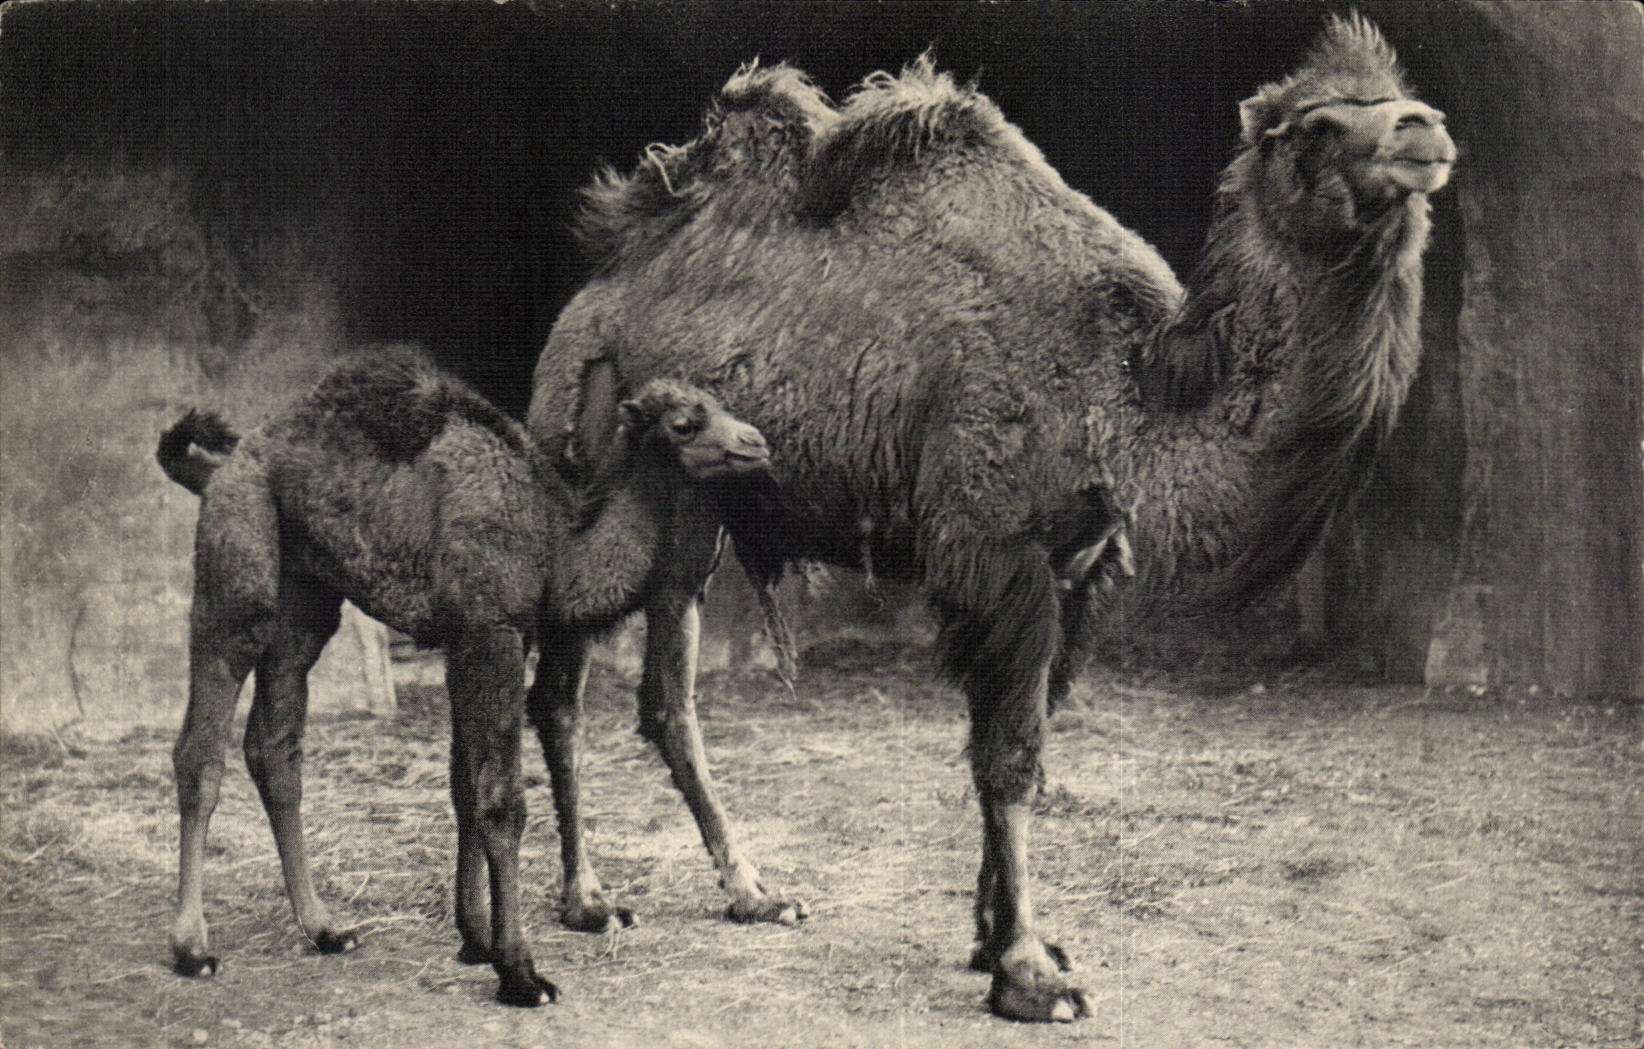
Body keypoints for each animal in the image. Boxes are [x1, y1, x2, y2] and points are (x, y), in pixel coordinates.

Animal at [158, 349, 770, 1006]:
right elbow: (502, 801)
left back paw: (325, 929)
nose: (756, 443)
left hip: (306, 601)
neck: (554, 543)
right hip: (236, 567)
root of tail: (224, 464)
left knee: (275, 746)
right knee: (201, 747)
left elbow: (463, 787)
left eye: (721, 405)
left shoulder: (470, 641)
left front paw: (475, 937)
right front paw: (520, 972)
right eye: (684, 423)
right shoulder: (490, 630)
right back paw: (192, 947)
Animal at [526, 16, 1452, 1021]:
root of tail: (589, 296)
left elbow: (1021, 743)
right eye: (1317, 125)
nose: (1425, 131)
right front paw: (1031, 973)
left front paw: (997, 936)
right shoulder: (994, 549)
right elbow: (1008, 756)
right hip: (584, 459)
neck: (1119, 397)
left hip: (695, 507)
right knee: (561, 689)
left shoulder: (1079, 565)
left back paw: (757, 893)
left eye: (1404, 100)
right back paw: (588, 901)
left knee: (668, 699)